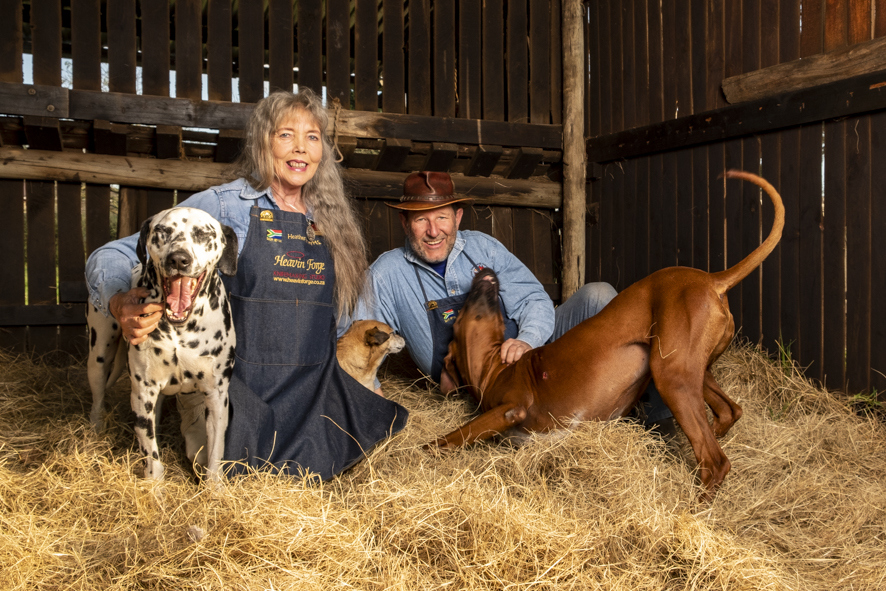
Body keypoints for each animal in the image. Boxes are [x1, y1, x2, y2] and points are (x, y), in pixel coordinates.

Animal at [86, 206, 238, 484]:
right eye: (162, 231)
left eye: (203, 234)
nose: (179, 259)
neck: (181, 328)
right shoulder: (143, 392)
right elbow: (152, 456)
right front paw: (154, 487)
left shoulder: (216, 396)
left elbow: (215, 453)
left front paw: (215, 487)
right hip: (99, 355)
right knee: (98, 397)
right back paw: (95, 428)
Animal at [438, 171, 784, 500]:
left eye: (461, 315)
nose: (484, 270)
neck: (493, 369)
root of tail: (712, 280)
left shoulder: (510, 409)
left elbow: (449, 437)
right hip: (694, 371)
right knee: (728, 412)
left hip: (670, 375)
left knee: (715, 461)